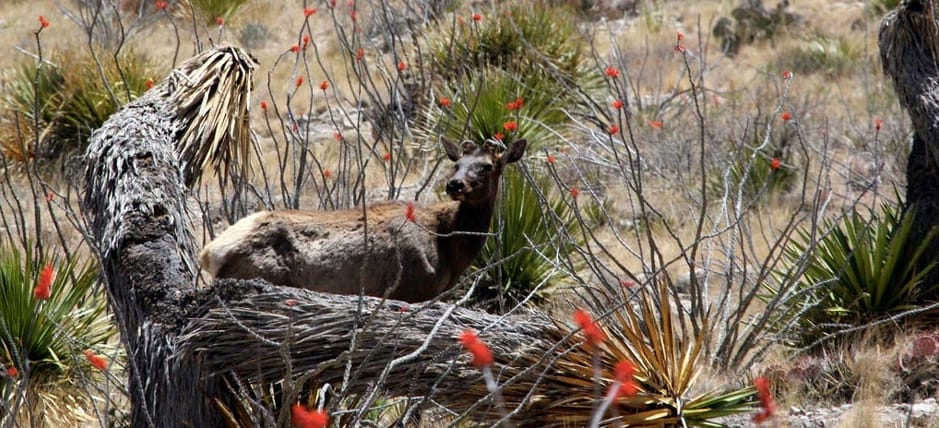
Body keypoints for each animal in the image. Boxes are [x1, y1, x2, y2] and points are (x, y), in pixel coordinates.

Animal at [199, 139, 528, 302]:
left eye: (487, 166)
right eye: (457, 163)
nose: (455, 184)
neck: (448, 244)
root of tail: (210, 252)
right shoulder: (411, 291)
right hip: (262, 276)